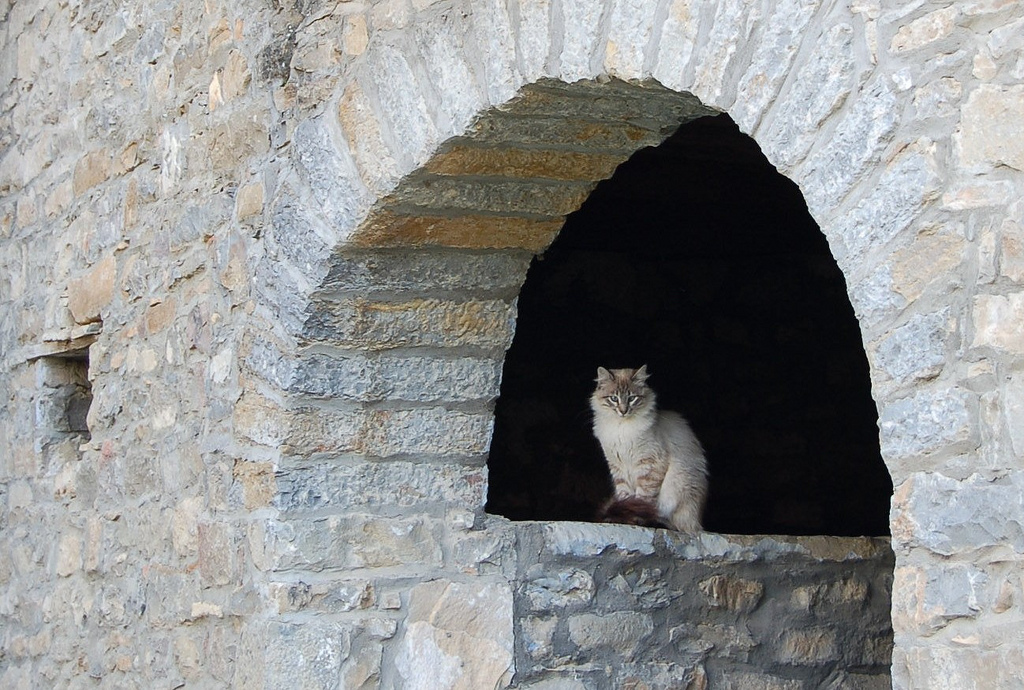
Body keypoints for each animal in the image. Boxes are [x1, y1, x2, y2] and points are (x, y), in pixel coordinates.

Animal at [589, 364, 708, 532]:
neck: (621, 428)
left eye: (632, 398)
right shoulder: (618, 468)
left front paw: (636, 519)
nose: (623, 411)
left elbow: (642, 498)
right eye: (614, 398)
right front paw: (623, 519)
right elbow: (625, 496)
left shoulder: (649, 465)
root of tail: (697, 524)